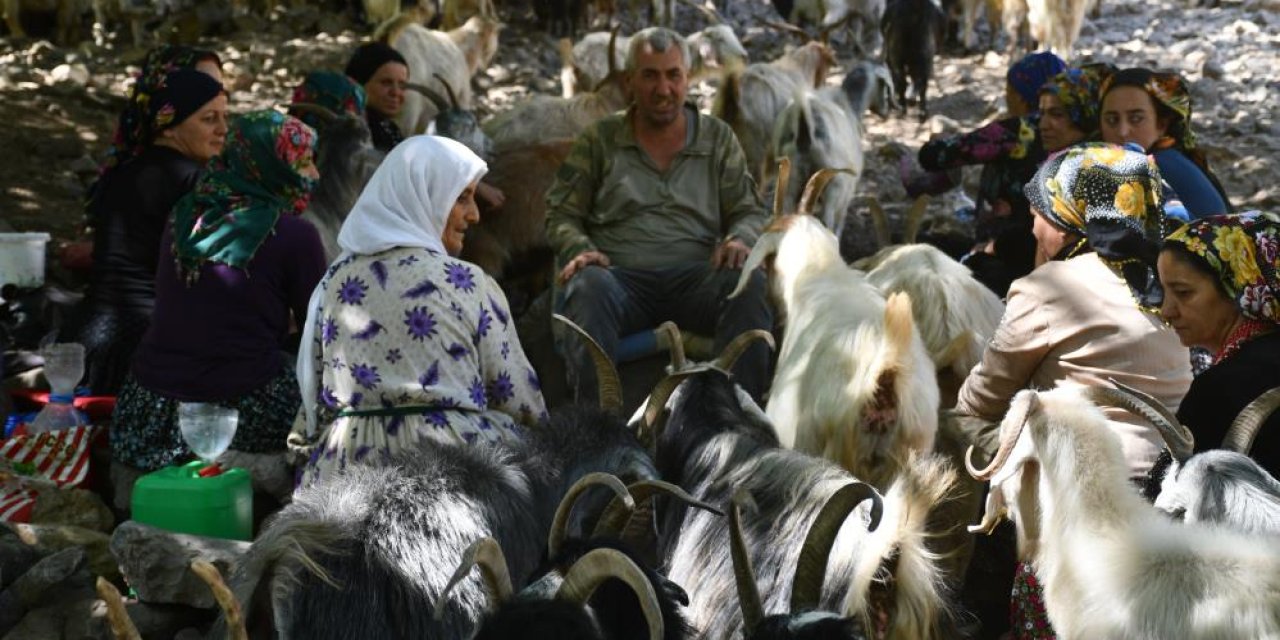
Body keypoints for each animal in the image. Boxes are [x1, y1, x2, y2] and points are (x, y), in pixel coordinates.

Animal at [773, 63, 896, 238]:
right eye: (886, 87)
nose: (886, 114)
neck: (849, 105)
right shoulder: (847, 191)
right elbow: (839, 222)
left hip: (790, 181)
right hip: (833, 185)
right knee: (827, 222)